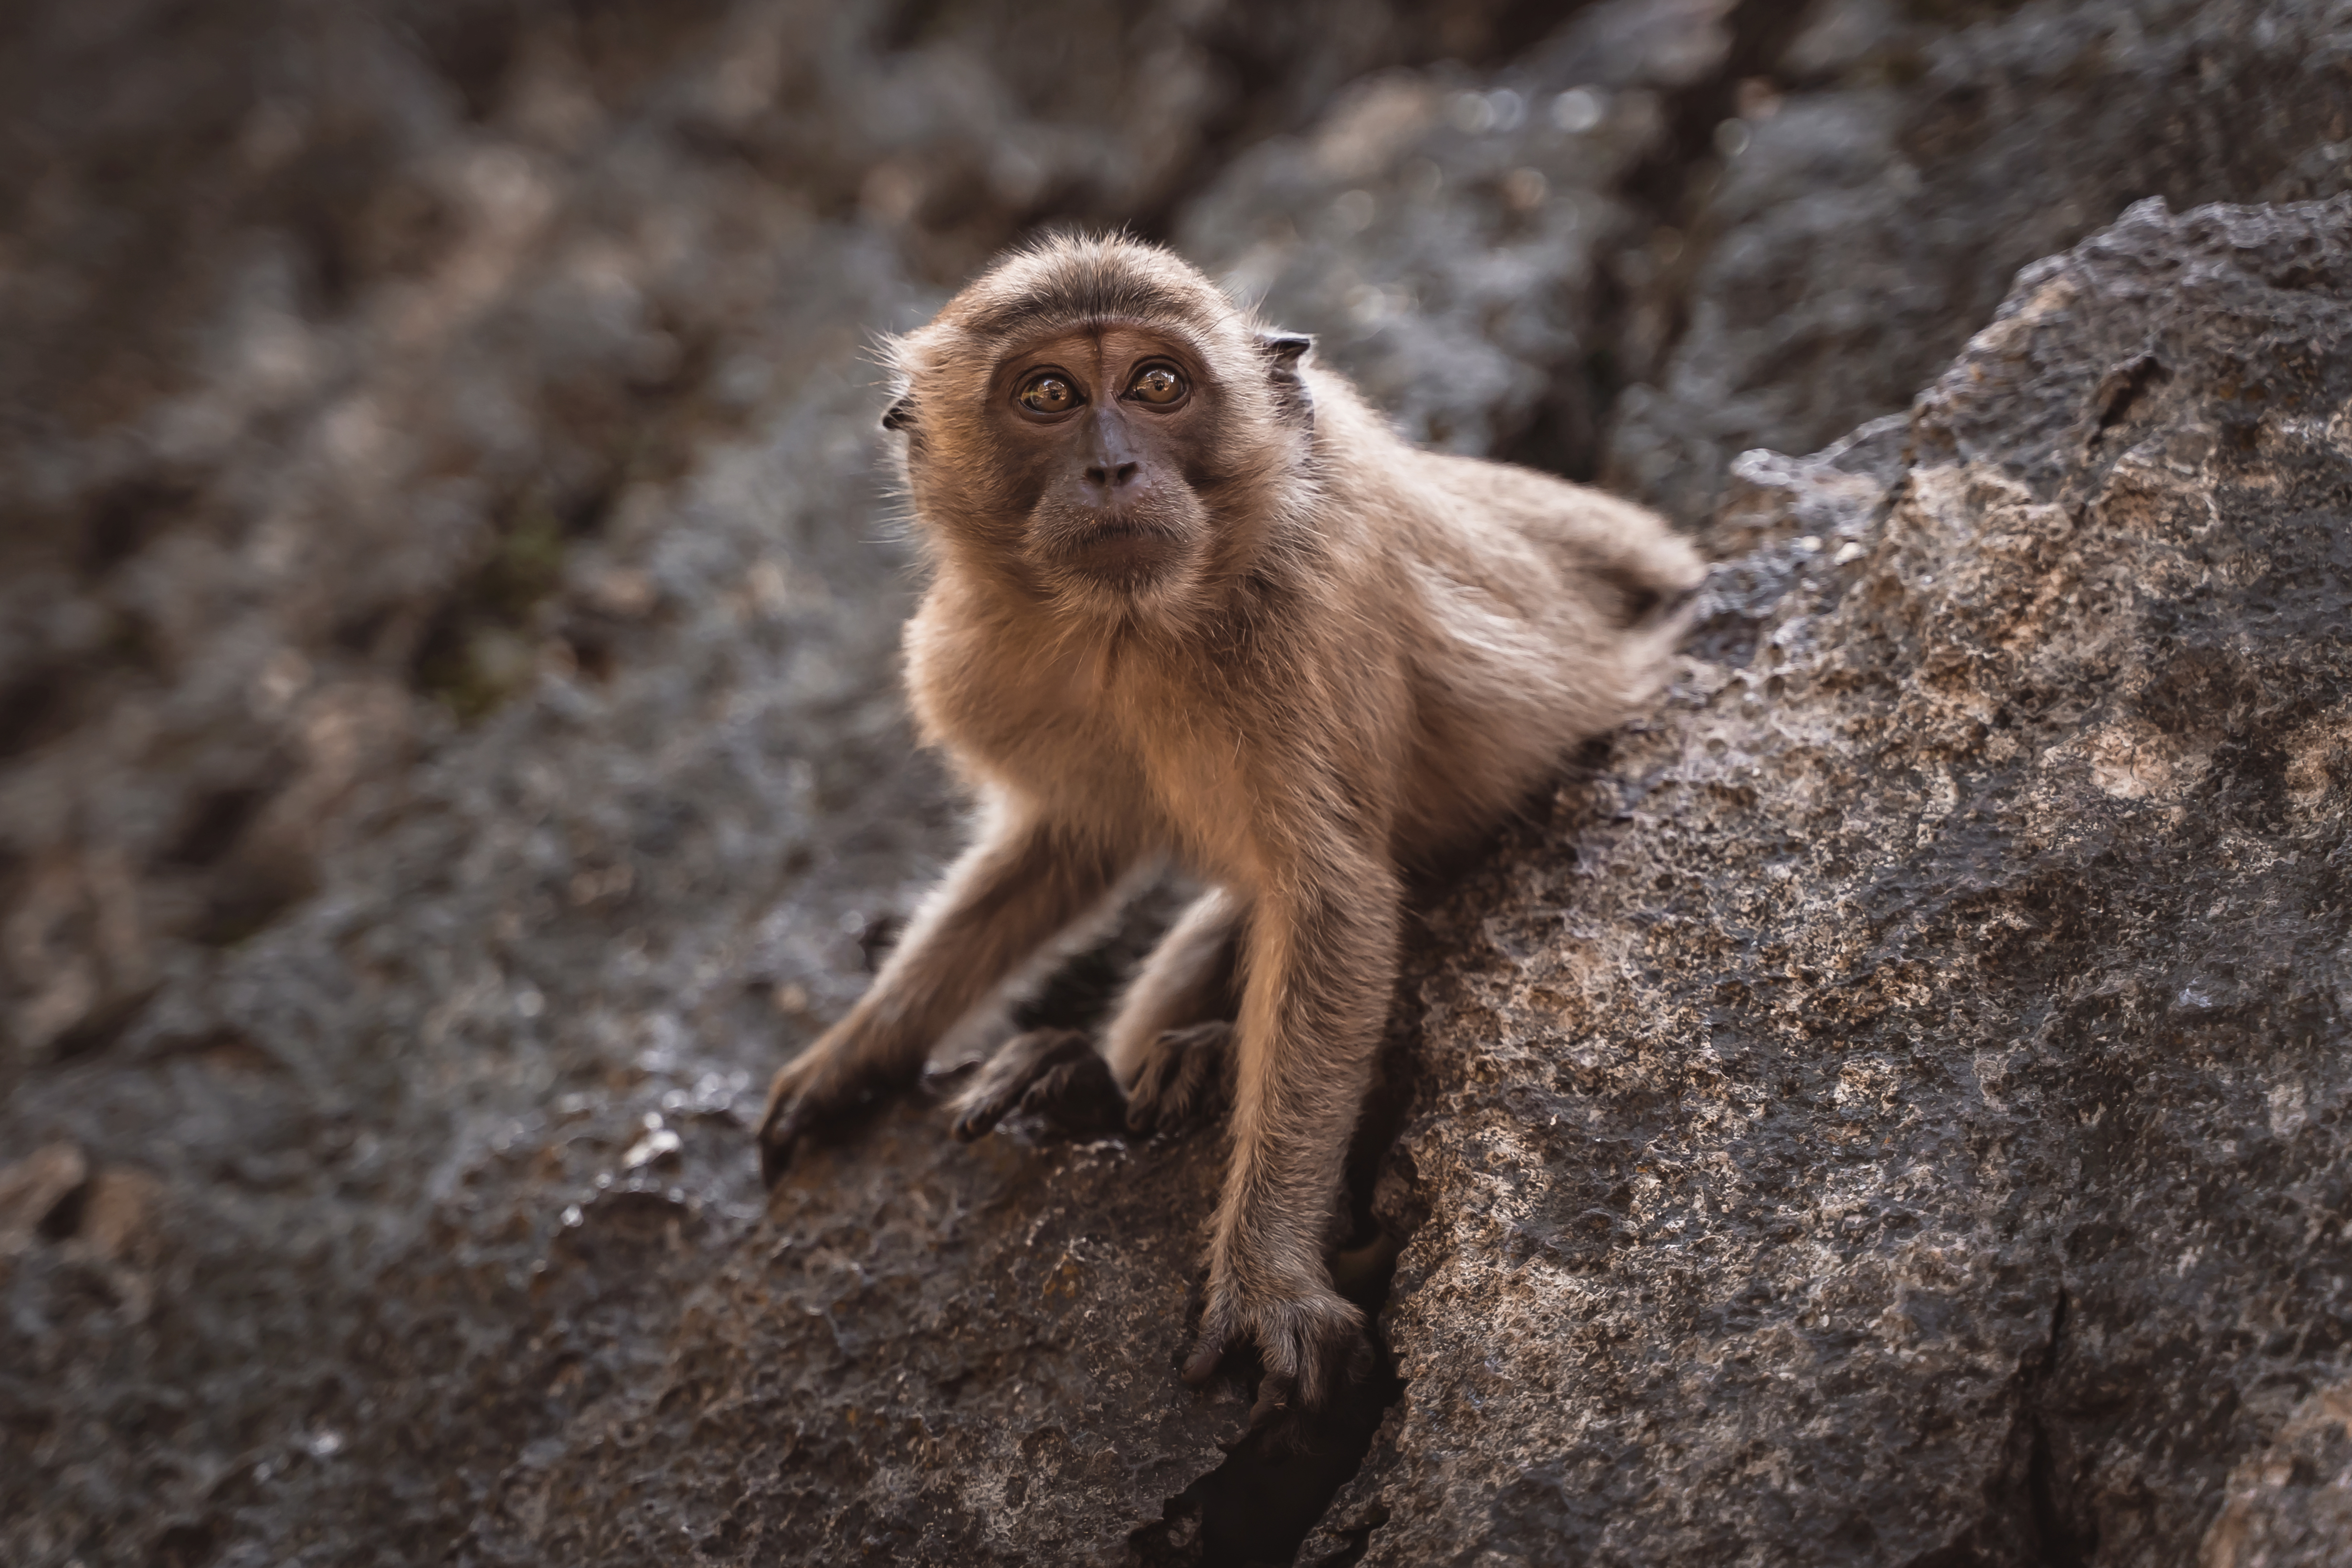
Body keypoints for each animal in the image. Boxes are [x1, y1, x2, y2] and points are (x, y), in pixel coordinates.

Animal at [762, 230, 1703, 1420]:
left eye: (1158, 385)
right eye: (1048, 395)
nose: (1113, 469)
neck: (1125, 625)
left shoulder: (1296, 620)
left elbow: (1333, 901)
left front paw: (1268, 1279)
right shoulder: (992, 657)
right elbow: (1066, 845)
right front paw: (861, 1049)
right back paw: (1085, 1082)